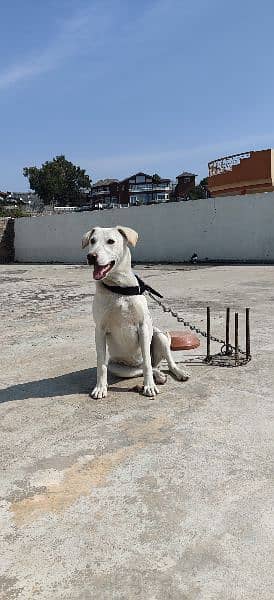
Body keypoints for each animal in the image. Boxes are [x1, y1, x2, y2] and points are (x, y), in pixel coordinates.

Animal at [82, 226, 189, 398]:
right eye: (92, 241)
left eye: (111, 241)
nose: (91, 256)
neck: (119, 288)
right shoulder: (99, 330)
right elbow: (101, 364)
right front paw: (100, 387)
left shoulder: (143, 327)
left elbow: (146, 362)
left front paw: (149, 386)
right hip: (119, 367)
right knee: (144, 368)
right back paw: (159, 375)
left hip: (159, 335)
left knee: (159, 362)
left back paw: (177, 372)